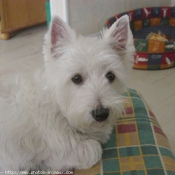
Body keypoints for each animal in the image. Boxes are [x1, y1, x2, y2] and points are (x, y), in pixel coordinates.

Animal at [0, 14, 135, 172]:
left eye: (110, 76)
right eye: (76, 78)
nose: (101, 114)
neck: (61, 108)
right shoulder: (66, 150)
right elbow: (95, 148)